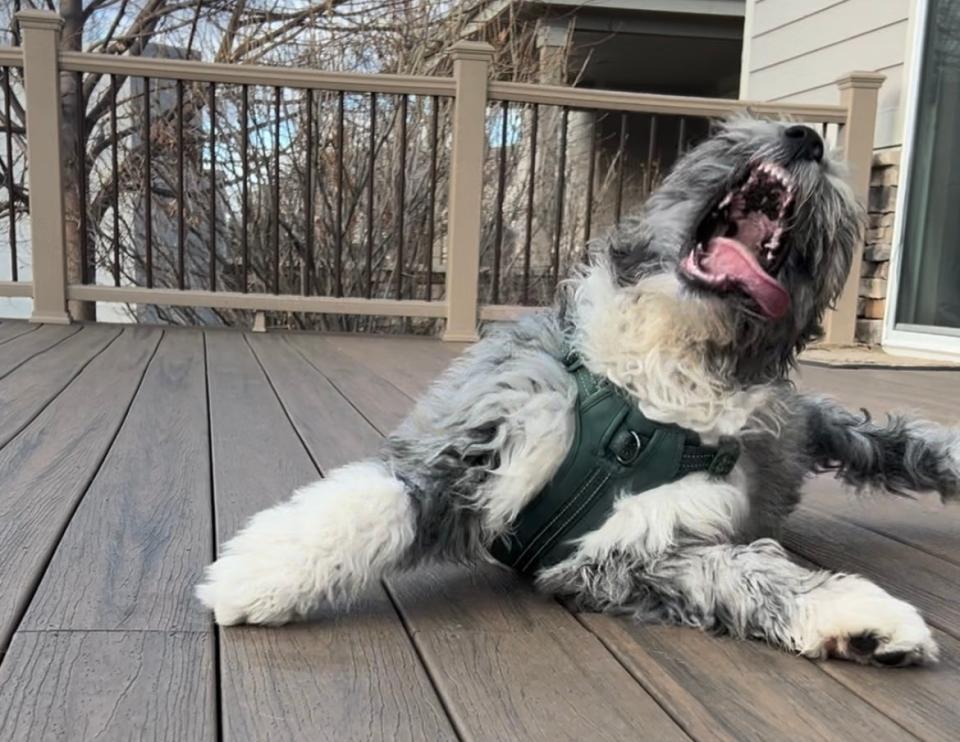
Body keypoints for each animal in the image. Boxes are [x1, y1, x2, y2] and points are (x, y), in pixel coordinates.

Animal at [197, 117, 960, 668]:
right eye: (725, 134)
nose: (808, 138)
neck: (653, 393)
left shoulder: (632, 549)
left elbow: (748, 573)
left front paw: (860, 619)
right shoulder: (492, 426)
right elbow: (374, 502)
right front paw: (253, 577)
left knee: (887, 442)